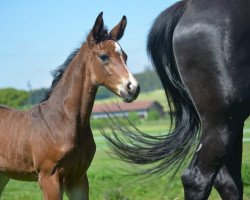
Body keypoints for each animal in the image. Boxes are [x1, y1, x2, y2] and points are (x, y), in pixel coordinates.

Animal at [0, 13, 140, 199]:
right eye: (104, 56)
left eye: (125, 56)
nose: (133, 88)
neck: (62, 121)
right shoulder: (49, 178)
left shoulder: (78, 177)